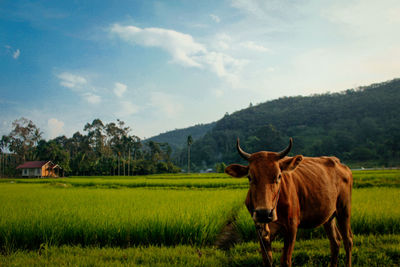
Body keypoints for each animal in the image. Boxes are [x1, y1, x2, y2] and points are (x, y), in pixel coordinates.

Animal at [225, 139, 354, 266]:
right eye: (250, 177)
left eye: (279, 176)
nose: (264, 213)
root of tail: (341, 164)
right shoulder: (260, 230)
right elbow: (267, 260)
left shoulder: (292, 227)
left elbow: (286, 261)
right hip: (328, 216)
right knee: (335, 241)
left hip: (344, 209)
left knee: (348, 240)